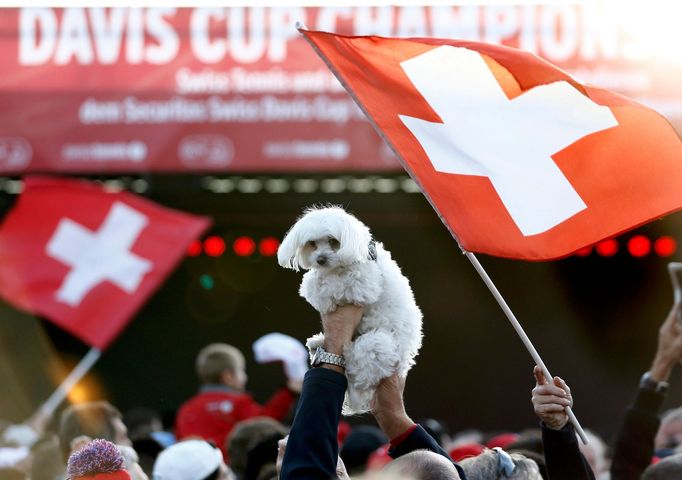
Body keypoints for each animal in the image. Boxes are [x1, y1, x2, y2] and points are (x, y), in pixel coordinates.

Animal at [276, 204, 420, 414]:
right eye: (312, 243)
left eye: (333, 241)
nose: (320, 259)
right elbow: (316, 280)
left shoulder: (361, 285)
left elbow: (331, 285)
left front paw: (322, 296)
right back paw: (318, 343)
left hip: (380, 343)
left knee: (359, 365)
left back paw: (347, 353)